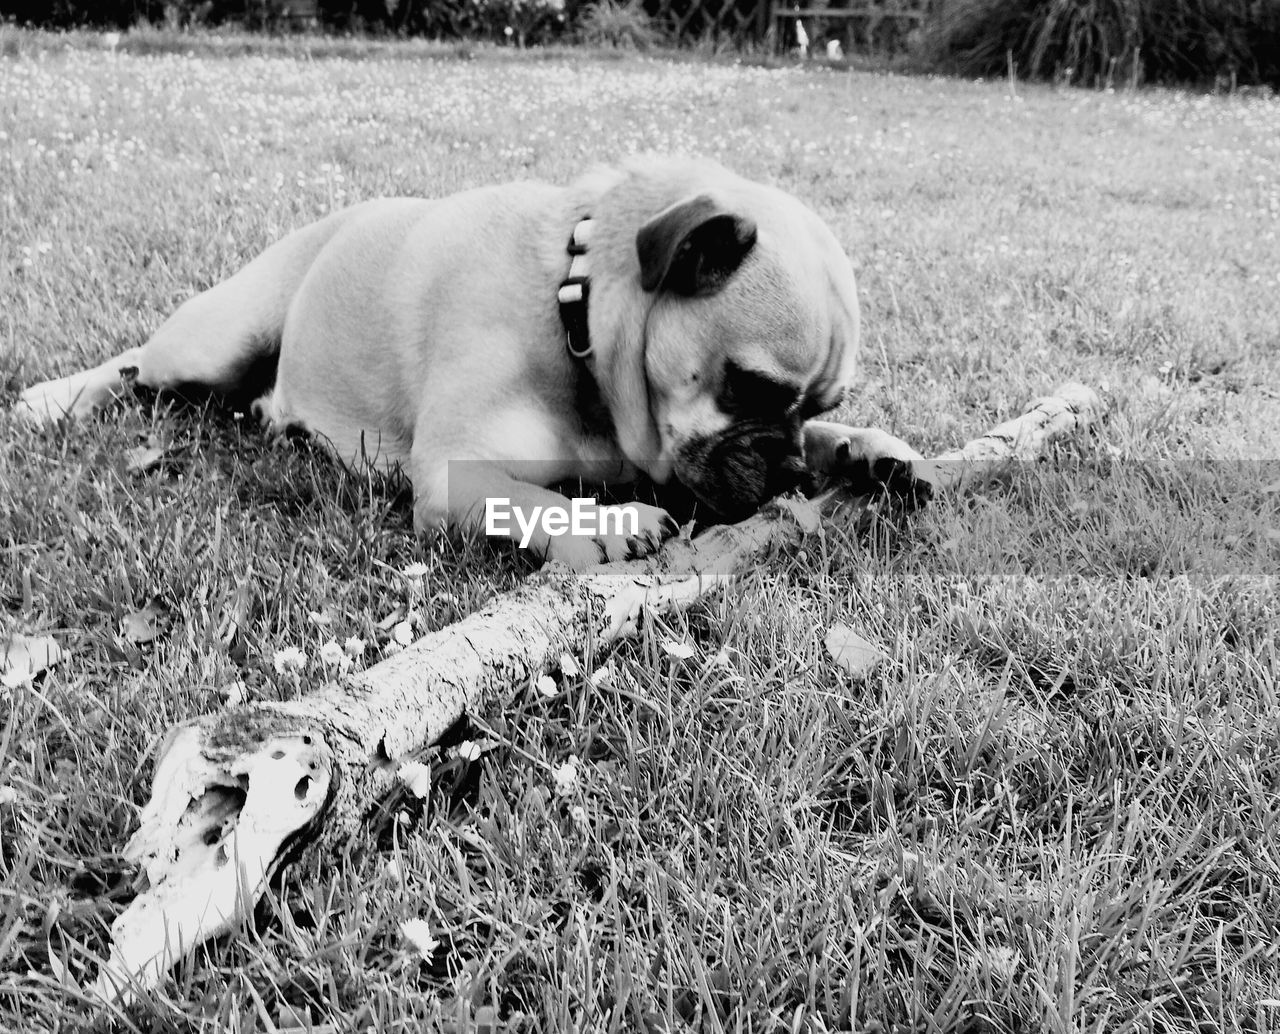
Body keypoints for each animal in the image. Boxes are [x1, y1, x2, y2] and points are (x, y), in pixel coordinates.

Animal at [15, 155, 926, 565]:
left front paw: (863, 448)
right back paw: (55, 399)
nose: (789, 470)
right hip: (215, 339)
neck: (574, 316)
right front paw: (610, 522)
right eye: (749, 387)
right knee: (136, 364)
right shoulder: (454, 474)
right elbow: (533, 500)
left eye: (816, 406)